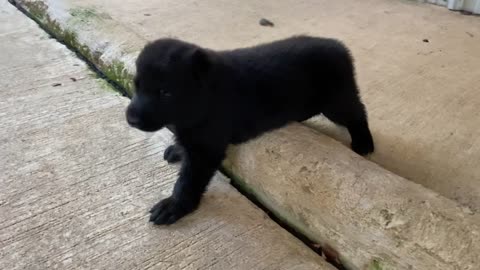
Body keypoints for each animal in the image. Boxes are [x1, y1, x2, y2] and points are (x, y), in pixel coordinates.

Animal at [125, 36, 374, 226]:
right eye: (136, 86)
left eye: (165, 92)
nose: (130, 119)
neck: (206, 94)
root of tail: (338, 46)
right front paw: (177, 149)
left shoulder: (206, 149)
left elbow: (187, 181)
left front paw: (175, 205)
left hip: (336, 102)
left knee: (358, 112)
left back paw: (364, 143)